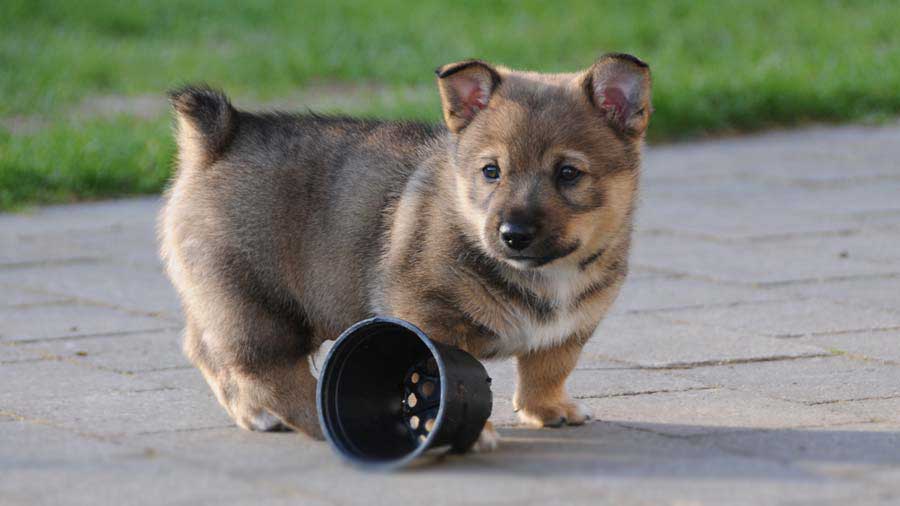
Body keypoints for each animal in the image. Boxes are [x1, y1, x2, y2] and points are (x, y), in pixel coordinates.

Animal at [162, 52, 652, 450]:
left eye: (569, 173)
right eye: (491, 171)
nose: (512, 234)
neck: (544, 274)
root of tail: (220, 137)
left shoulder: (571, 327)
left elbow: (548, 369)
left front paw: (549, 411)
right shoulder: (430, 317)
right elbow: (446, 381)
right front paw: (467, 430)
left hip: (223, 302)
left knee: (205, 349)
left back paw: (256, 416)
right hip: (259, 306)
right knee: (266, 372)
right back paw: (314, 420)